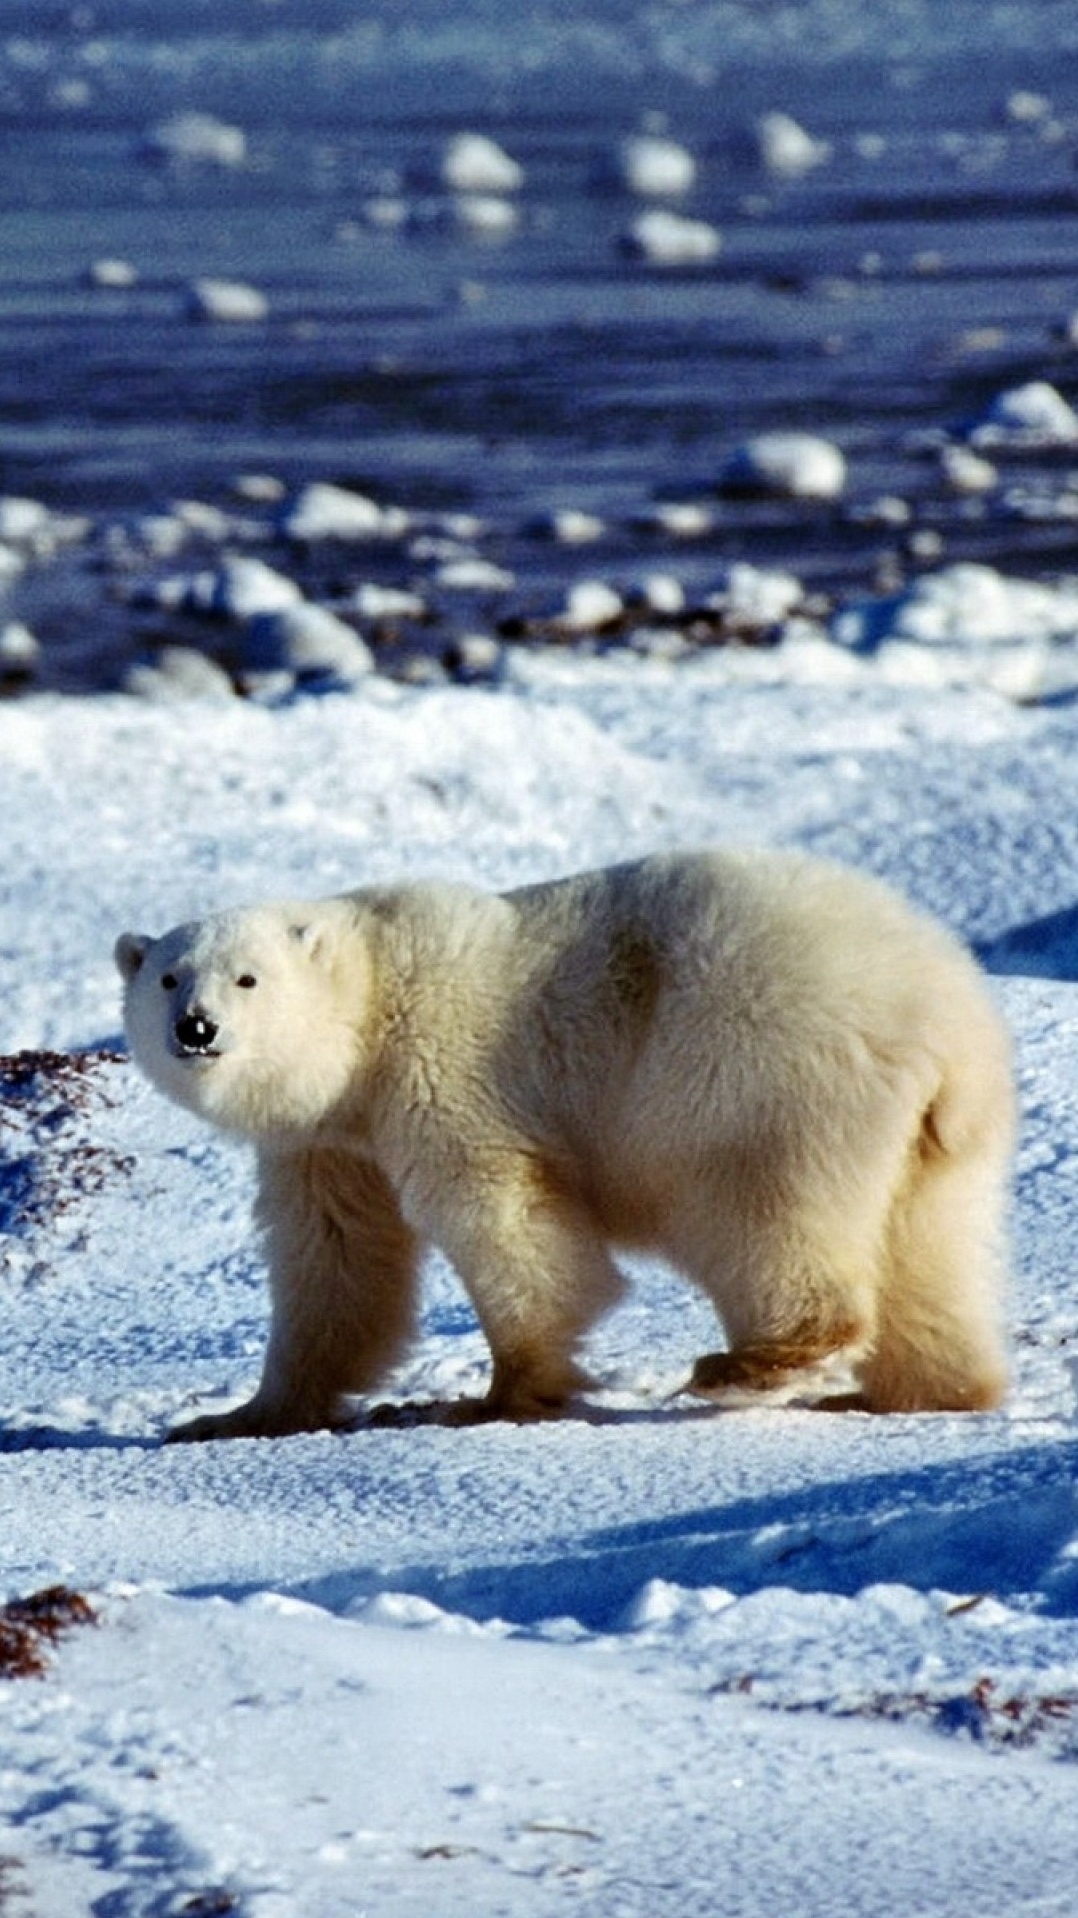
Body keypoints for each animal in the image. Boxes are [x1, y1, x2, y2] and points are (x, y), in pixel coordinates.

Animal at [113, 855, 1012, 1442]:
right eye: (167, 977)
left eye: (248, 978)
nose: (196, 1029)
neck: (371, 1006)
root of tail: (942, 1021)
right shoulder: (327, 1142)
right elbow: (336, 1261)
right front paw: (237, 1417)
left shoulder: (444, 1072)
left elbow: (506, 1219)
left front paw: (494, 1395)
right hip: (940, 1142)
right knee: (929, 1250)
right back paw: (917, 1392)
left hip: (759, 1074)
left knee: (759, 1211)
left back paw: (753, 1364)